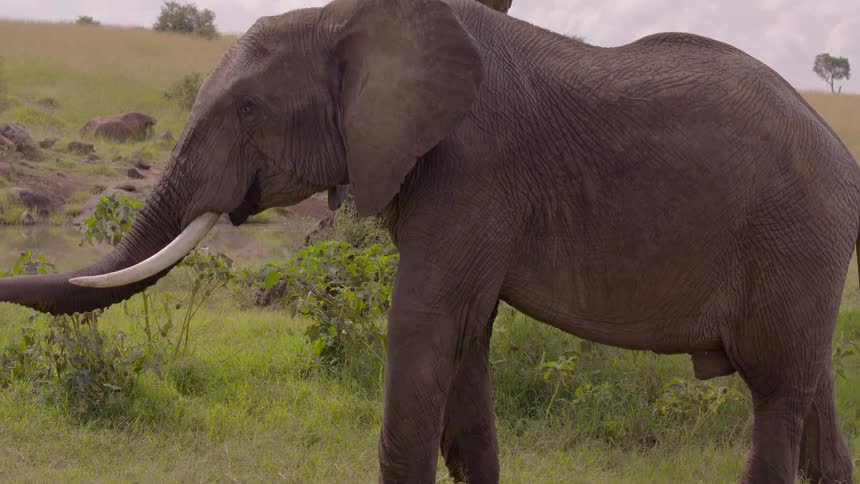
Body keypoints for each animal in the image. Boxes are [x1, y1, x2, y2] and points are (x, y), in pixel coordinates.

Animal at [0, 0, 857, 482]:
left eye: (247, 110)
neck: (354, 20)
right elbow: (467, 336)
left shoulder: (474, 165)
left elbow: (423, 323)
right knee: (813, 393)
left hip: (796, 241)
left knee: (777, 394)